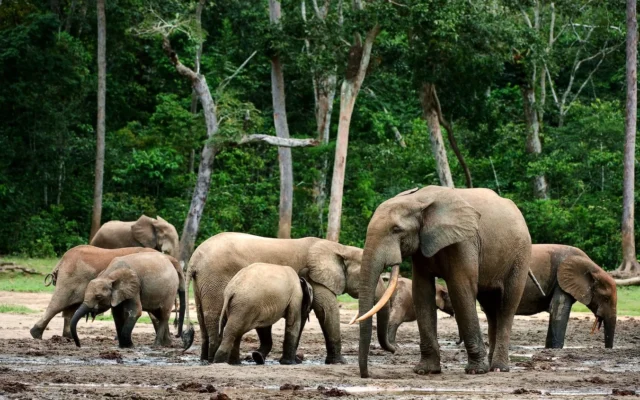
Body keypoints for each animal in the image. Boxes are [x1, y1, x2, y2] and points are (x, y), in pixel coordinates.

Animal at [181, 232, 395, 364]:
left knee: (203, 318)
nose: (394, 350)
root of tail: (194, 259)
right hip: (216, 279)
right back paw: (217, 359)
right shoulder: (315, 277)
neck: (339, 248)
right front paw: (339, 363)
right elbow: (327, 311)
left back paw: (206, 359)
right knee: (217, 317)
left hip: (203, 284)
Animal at [355, 186, 532, 377]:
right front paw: (425, 370)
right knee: (490, 308)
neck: (418, 199)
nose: (366, 375)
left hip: (521, 255)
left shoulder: (464, 241)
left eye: (396, 229)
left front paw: (476, 371)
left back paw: (499, 368)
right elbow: (422, 292)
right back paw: (492, 365)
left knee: (507, 306)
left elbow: (460, 289)